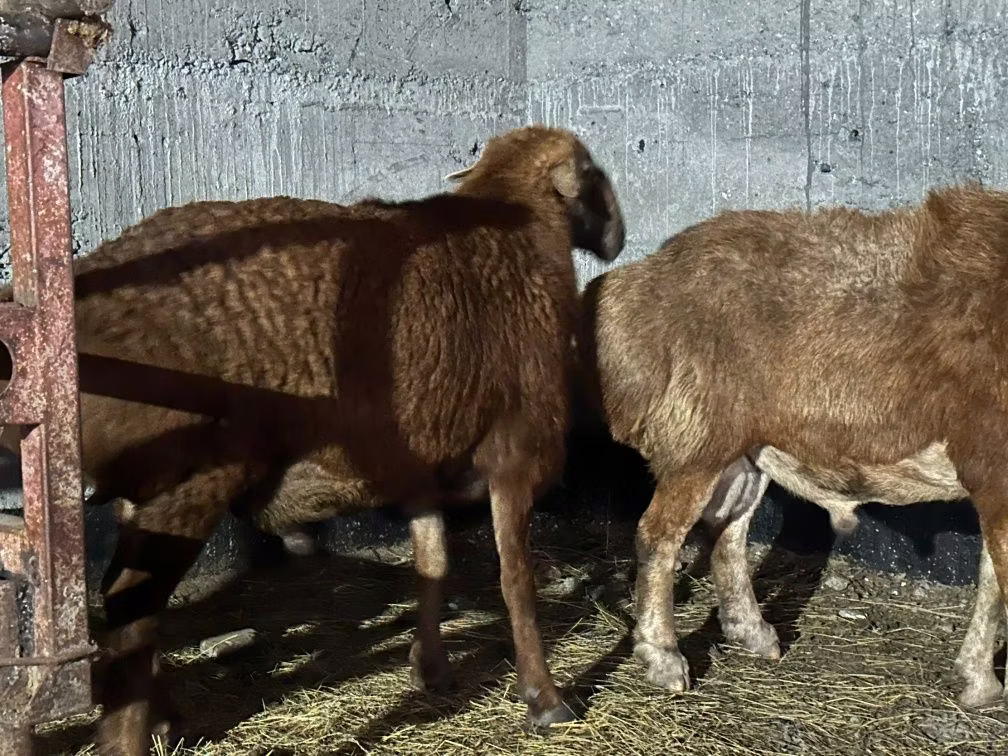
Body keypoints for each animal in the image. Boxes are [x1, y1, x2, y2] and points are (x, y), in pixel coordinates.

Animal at [0, 124, 625, 755]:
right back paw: (130, 734)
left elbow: (432, 564)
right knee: (131, 604)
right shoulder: (515, 455)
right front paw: (545, 697)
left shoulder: (420, 470)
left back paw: (164, 719)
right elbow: (516, 581)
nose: (619, 238)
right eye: (593, 173)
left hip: (147, 489)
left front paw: (431, 667)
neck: (519, 231)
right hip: (195, 478)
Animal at [579, 185, 1008, 704]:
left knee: (728, 530)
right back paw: (664, 658)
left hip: (745, 451)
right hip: (698, 438)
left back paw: (753, 633)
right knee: (658, 536)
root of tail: (632, 284)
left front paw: (978, 682)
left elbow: (991, 580)